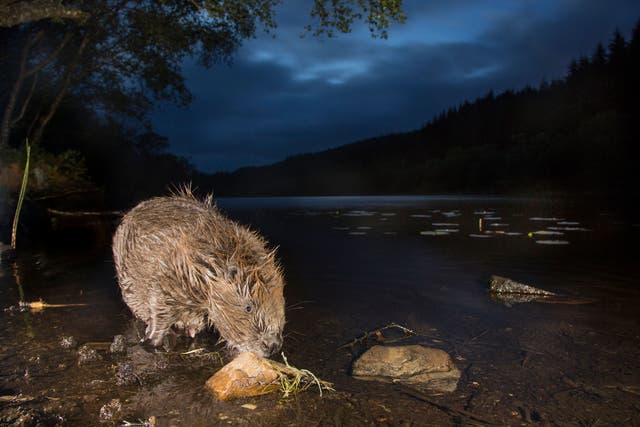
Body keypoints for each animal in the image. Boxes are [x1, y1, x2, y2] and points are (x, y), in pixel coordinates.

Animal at [112, 191, 284, 358]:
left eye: (280, 303)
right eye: (248, 307)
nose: (273, 345)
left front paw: (191, 328)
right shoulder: (168, 273)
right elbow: (159, 307)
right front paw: (153, 339)